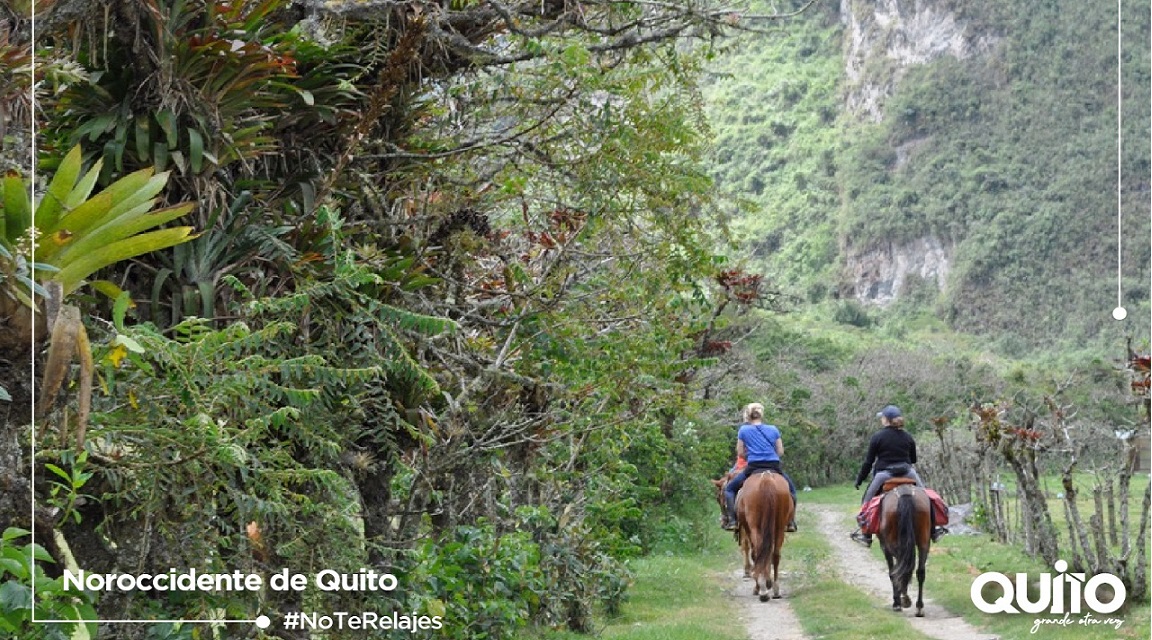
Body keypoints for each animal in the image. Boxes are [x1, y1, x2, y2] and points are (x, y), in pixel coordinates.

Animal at [737, 469, 792, 598]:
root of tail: (766, 478)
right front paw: (768, 582)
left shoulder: (748, 529)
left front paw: (761, 585)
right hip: (779, 528)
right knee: (775, 555)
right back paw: (775, 589)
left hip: (754, 527)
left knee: (757, 552)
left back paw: (761, 589)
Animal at [875, 485, 930, 616]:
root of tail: (905, 492)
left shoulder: (885, 547)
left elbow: (892, 571)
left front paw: (897, 602)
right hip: (924, 542)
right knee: (920, 572)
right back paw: (919, 606)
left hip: (892, 544)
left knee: (901, 569)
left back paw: (902, 601)